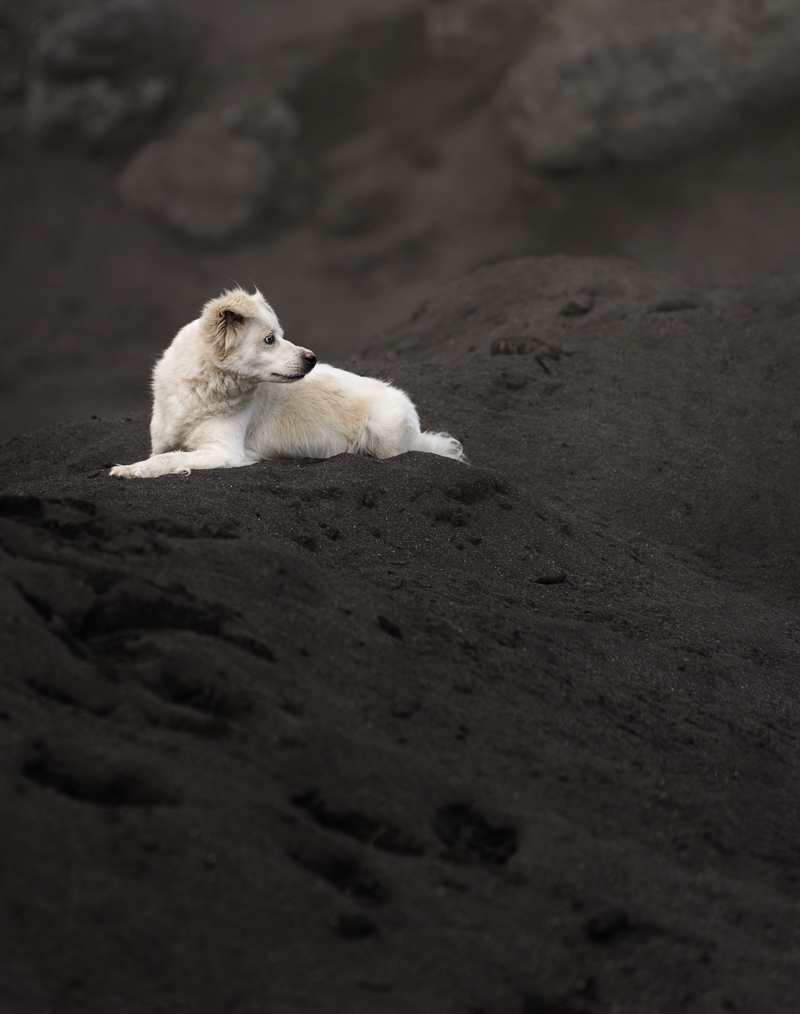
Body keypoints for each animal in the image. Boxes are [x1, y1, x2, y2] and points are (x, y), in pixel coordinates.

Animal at [108, 285, 464, 474]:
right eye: (270, 339)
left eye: (280, 335)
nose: (312, 358)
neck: (204, 388)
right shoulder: (163, 440)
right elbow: (166, 454)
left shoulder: (225, 451)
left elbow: (169, 458)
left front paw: (129, 470)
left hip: (385, 430)